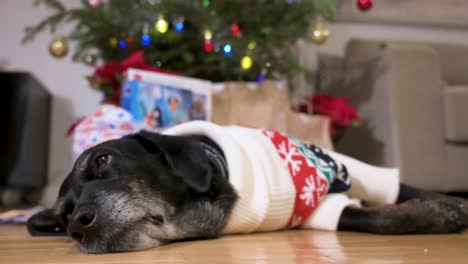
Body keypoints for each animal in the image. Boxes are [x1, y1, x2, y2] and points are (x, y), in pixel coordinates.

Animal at [26, 121, 468, 254]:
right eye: (63, 217)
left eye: (102, 160)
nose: (79, 226)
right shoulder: (318, 209)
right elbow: (375, 217)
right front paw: (439, 214)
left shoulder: (349, 166)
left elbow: (398, 190)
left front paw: (444, 203)